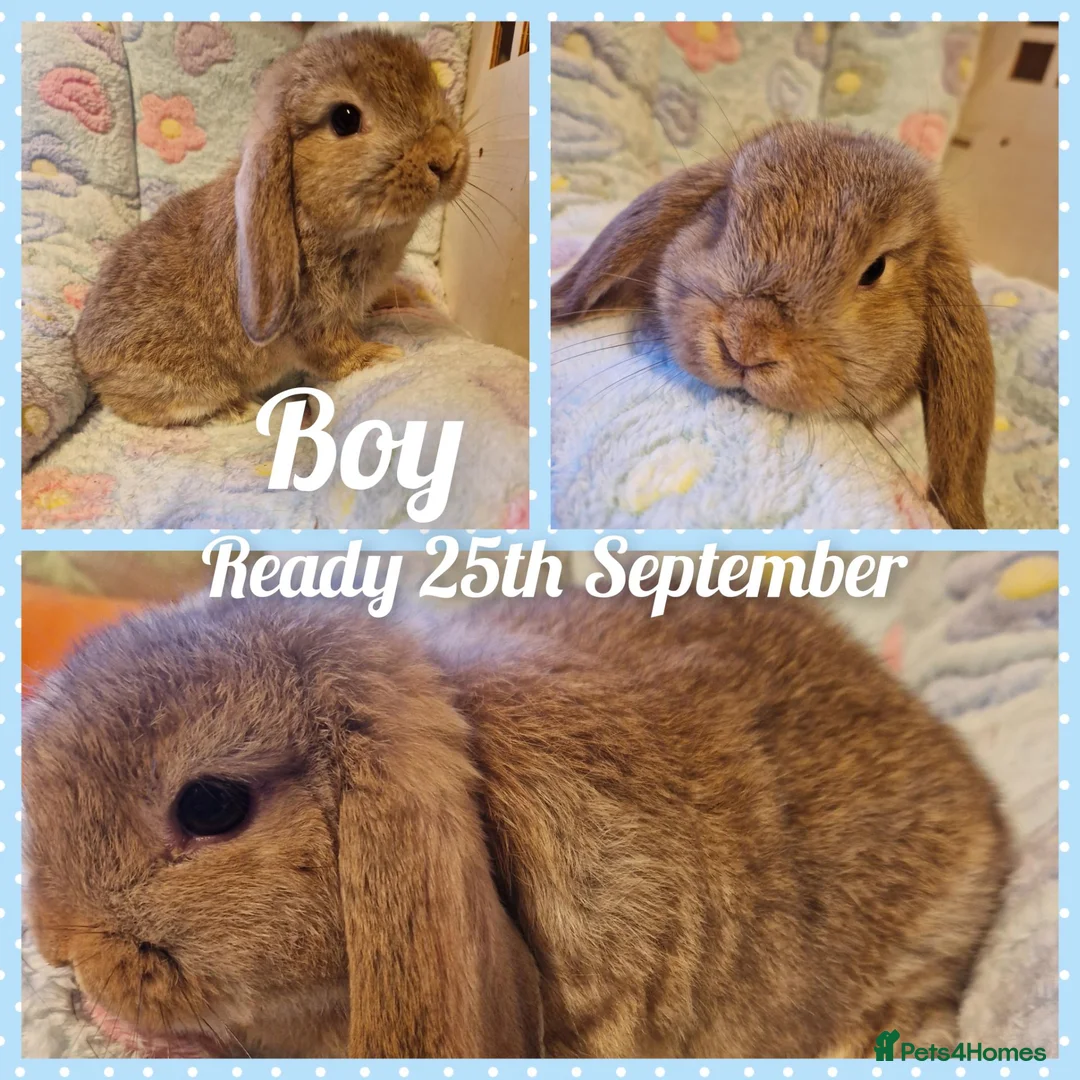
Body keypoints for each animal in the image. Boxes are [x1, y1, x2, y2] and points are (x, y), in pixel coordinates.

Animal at [73, 29, 468, 428]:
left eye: (434, 81)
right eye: (345, 119)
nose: (445, 158)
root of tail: (88, 359)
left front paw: (396, 297)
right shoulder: (314, 320)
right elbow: (333, 352)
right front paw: (379, 355)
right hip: (189, 384)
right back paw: (239, 409)